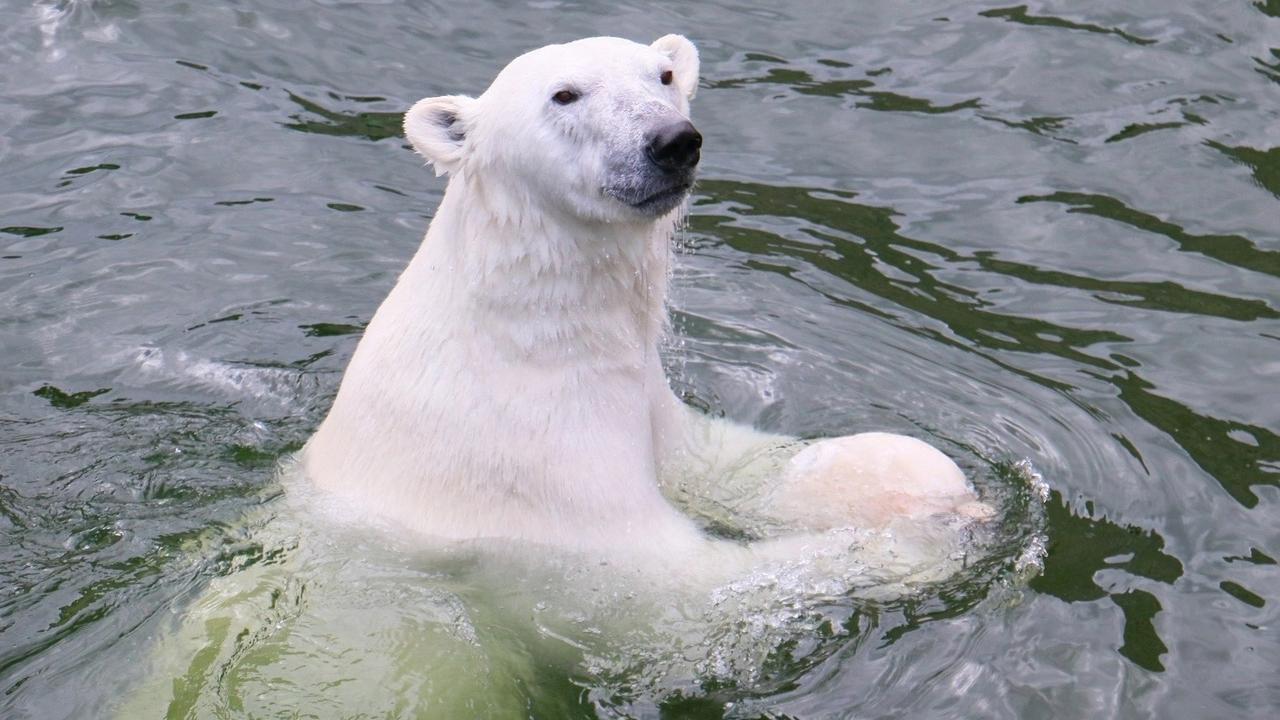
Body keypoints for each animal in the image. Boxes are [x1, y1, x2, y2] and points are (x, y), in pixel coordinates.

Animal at [302, 35, 988, 556]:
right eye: (565, 94)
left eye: (663, 75)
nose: (673, 141)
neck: (524, 341)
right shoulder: (523, 467)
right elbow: (680, 580)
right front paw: (910, 541)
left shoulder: (645, 401)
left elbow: (716, 461)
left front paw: (913, 482)